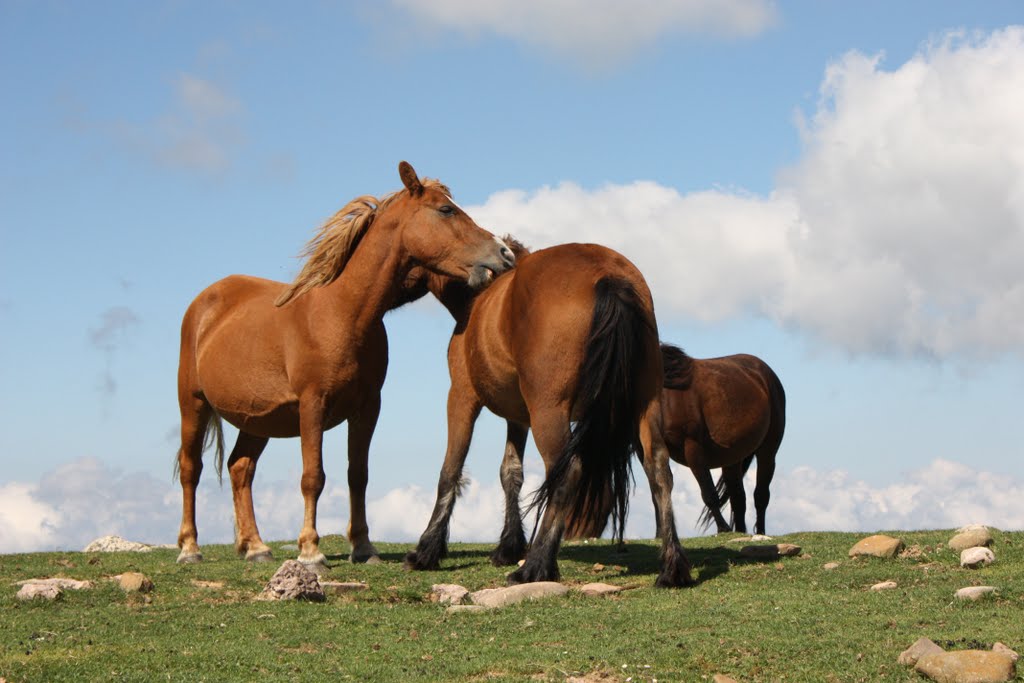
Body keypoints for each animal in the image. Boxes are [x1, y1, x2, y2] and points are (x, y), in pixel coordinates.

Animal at [174, 162, 520, 569]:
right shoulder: (313, 406)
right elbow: (313, 476)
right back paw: (189, 547)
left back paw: (255, 546)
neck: (342, 314)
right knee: (191, 470)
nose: (504, 254)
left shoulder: (367, 408)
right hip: (193, 404)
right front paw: (310, 549)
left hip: (258, 419)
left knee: (241, 469)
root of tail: (205, 303)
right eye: (446, 210)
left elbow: (359, 475)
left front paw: (363, 546)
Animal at [403, 240, 692, 589]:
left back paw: (536, 565)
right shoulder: (518, 417)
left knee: (567, 473)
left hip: (549, 413)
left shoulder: (461, 396)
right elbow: (510, 473)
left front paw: (427, 550)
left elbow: (451, 470)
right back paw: (672, 569)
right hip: (644, 406)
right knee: (659, 469)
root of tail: (608, 274)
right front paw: (508, 545)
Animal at [659, 344, 786, 536]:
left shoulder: (693, 447)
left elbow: (709, 493)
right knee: (738, 498)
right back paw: (740, 531)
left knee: (761, 495)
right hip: (732, 459)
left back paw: (760, 532)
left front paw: (723, 528)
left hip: (768, 452)